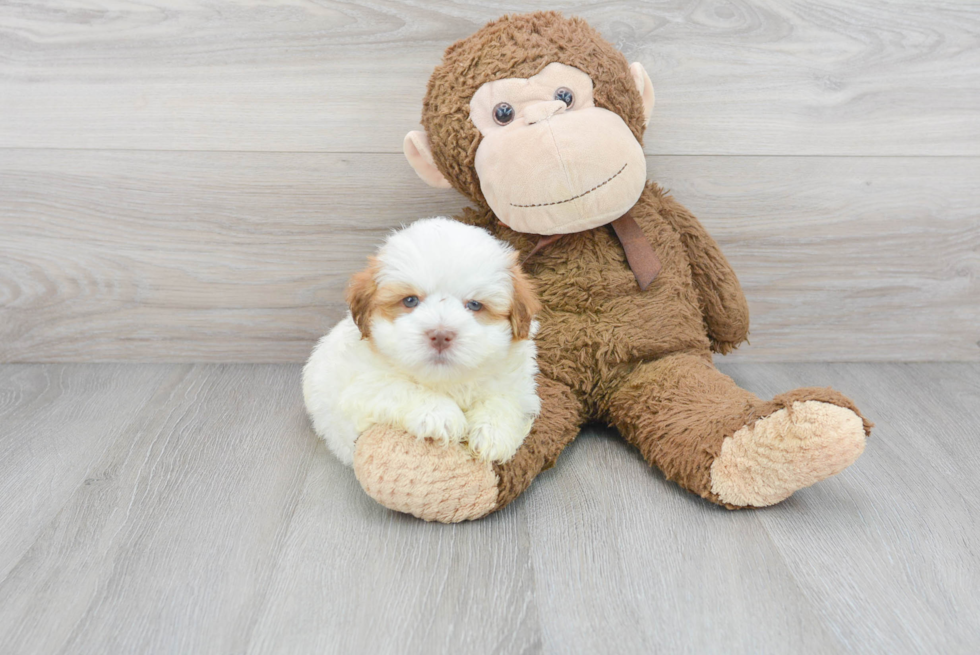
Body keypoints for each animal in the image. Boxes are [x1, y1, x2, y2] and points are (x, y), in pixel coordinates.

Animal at [302, 219, 544, 466]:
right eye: (410, 301)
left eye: (475, 305)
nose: (440, 335)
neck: (445, 382)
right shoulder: (360, 387)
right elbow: (399, 387)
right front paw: (442, 413)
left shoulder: (519, 384)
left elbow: (505, 398)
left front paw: (493, 432)